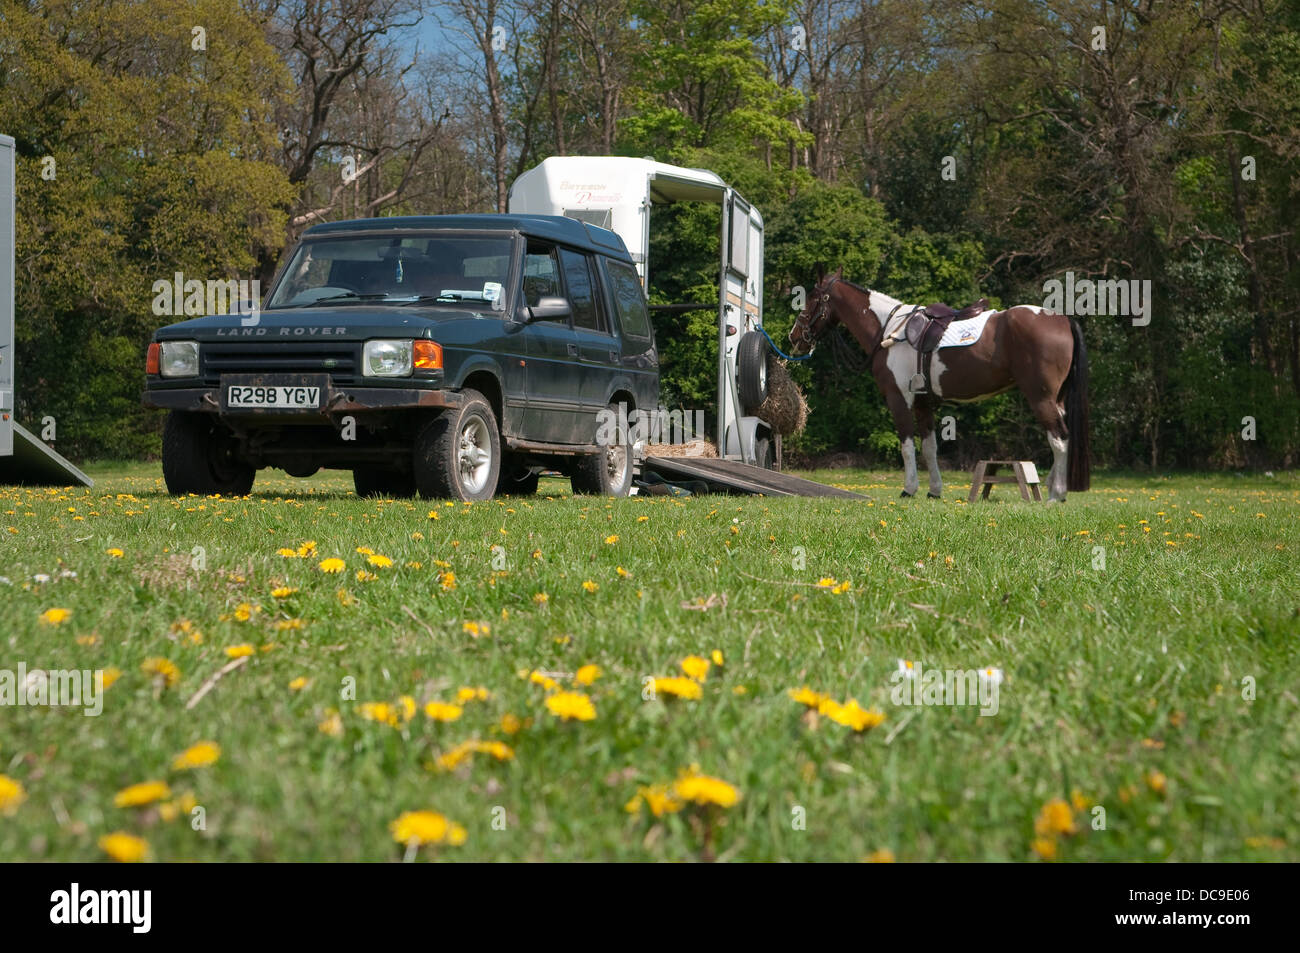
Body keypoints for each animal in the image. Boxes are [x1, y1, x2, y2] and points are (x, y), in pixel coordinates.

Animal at [785, 273, 1092, 501]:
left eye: (811, 299)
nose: (794, 336)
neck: (888, 329)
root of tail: (1062, 320)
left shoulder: (899, 399)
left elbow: (907, 446)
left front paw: (909, 489)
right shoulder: (924, 404)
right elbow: (930, 448)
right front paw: (934, 490)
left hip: (1041, 397)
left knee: (1059, 438)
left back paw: (1056, 494)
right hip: (1056, 400)